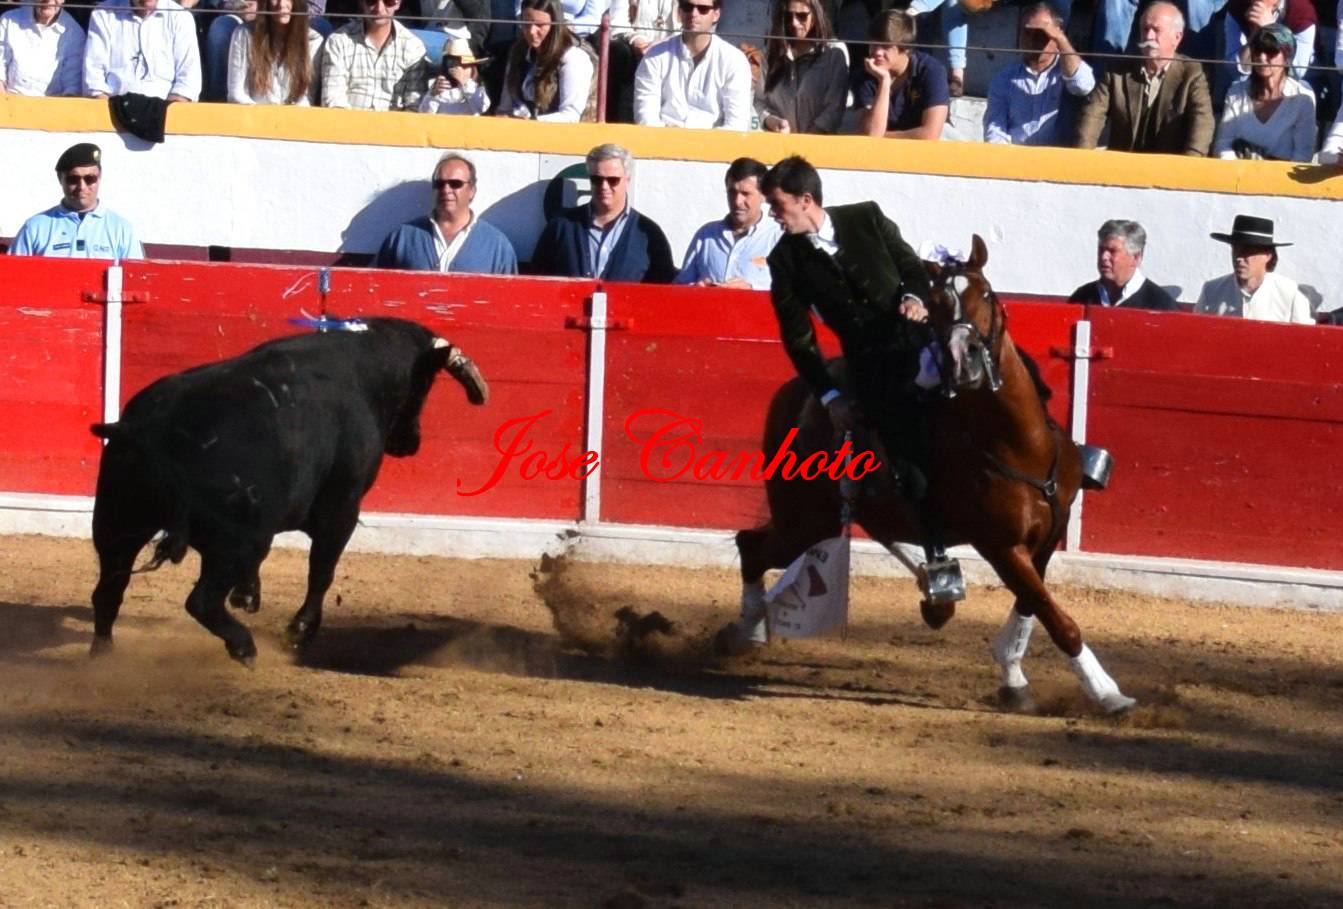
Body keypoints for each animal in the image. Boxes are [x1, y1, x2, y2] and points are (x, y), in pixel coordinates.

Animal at [88, 317, 489, 666]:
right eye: (424, 385)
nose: (411, 443)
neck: (365, 369)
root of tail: (152, 428)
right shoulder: (342, 509)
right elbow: (322, 570)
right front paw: (298, 631)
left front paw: (248, 595)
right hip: (234, 541)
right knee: (200, 601)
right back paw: (244, 647)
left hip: (117, 524)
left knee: (108, 591)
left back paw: (102, 657)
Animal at [731, 236, 1136, 714]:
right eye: (937, 304)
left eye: (987, 294)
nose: (965, 361)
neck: (1019, 444)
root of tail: (799, 393)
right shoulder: (999, 545)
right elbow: (1053, 614)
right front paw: (1107, 692)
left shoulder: (1050, 532)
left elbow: (1031, 605)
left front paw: (1012, 676)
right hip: (805, 518)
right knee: (752, 547)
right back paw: (747, 632)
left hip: (825, 518)